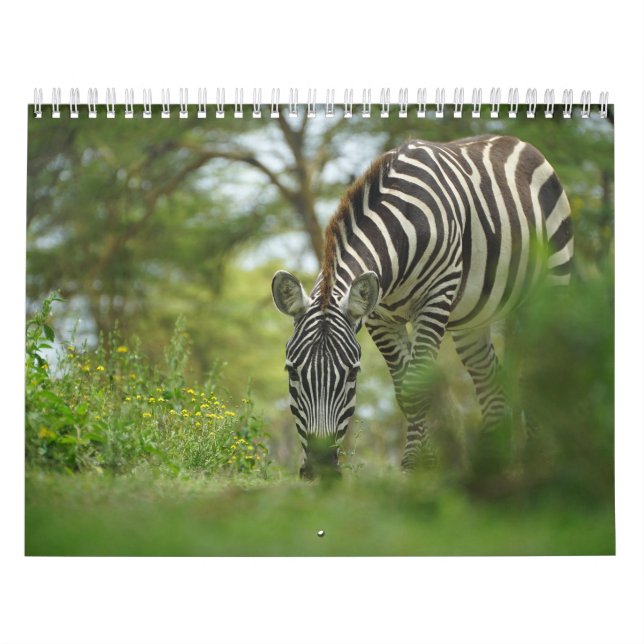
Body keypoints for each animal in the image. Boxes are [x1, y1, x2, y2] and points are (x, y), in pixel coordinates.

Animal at [271, 135, 573, 478]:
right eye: (292, 371)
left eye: (352, 374)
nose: (321, 468)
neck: (401, 228)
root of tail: (516, 140)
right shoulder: (379, 317)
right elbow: (404, 389)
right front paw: (425, 463)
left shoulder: (435, 299)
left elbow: (417, 385)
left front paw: (415, 464)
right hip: (473, 319)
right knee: (490, 379)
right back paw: (490, 465)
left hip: (549, 285)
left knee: (537, 368)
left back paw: (537, 458)